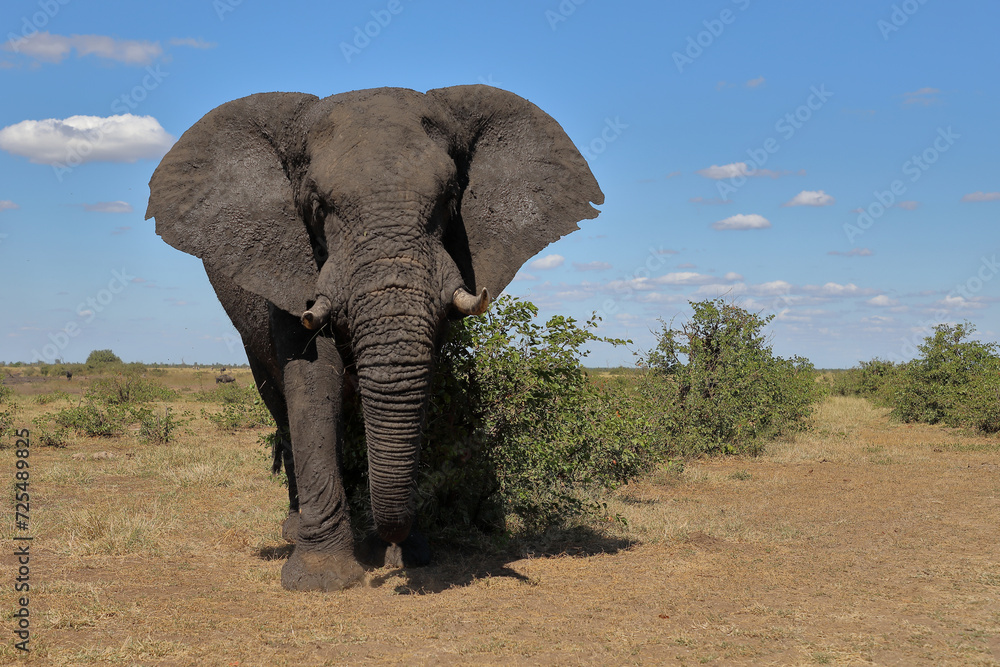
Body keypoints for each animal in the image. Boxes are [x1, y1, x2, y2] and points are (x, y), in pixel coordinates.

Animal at [145, 84, 603, 591]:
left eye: (450, 199)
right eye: (318, 206)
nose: (390, 553)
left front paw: (404, 554)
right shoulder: (288, 265)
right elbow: (313, 379)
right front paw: (321, 578)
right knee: (280, 406)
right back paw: (293, 527)